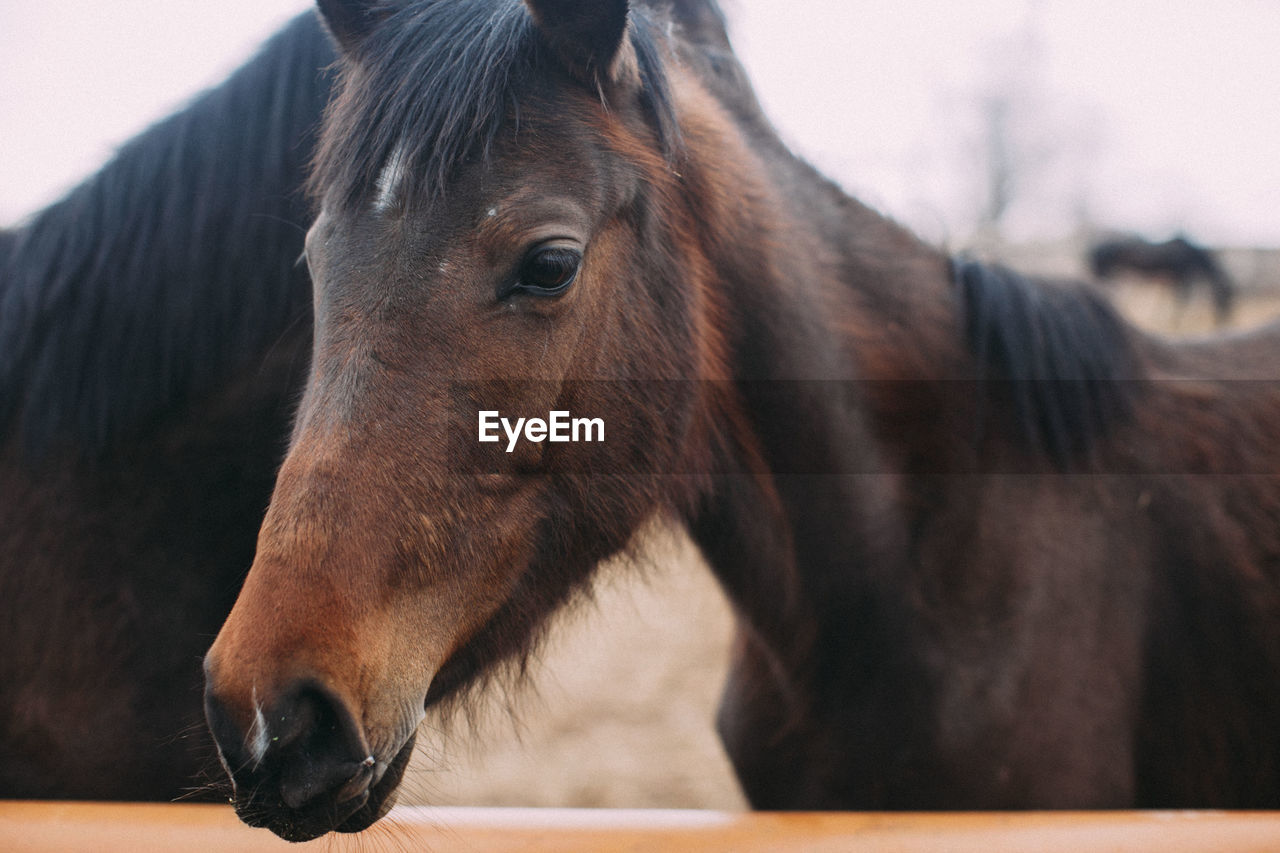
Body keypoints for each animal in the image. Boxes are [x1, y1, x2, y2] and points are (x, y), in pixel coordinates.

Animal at [1089, 234, 1236, 325]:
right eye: (1225, 298)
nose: (1222, 323)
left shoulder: (1168, 281)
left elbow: (1164, 301)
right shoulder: (1180, 278)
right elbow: (1181, 301)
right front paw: (1174, 321)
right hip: (1105, 273)